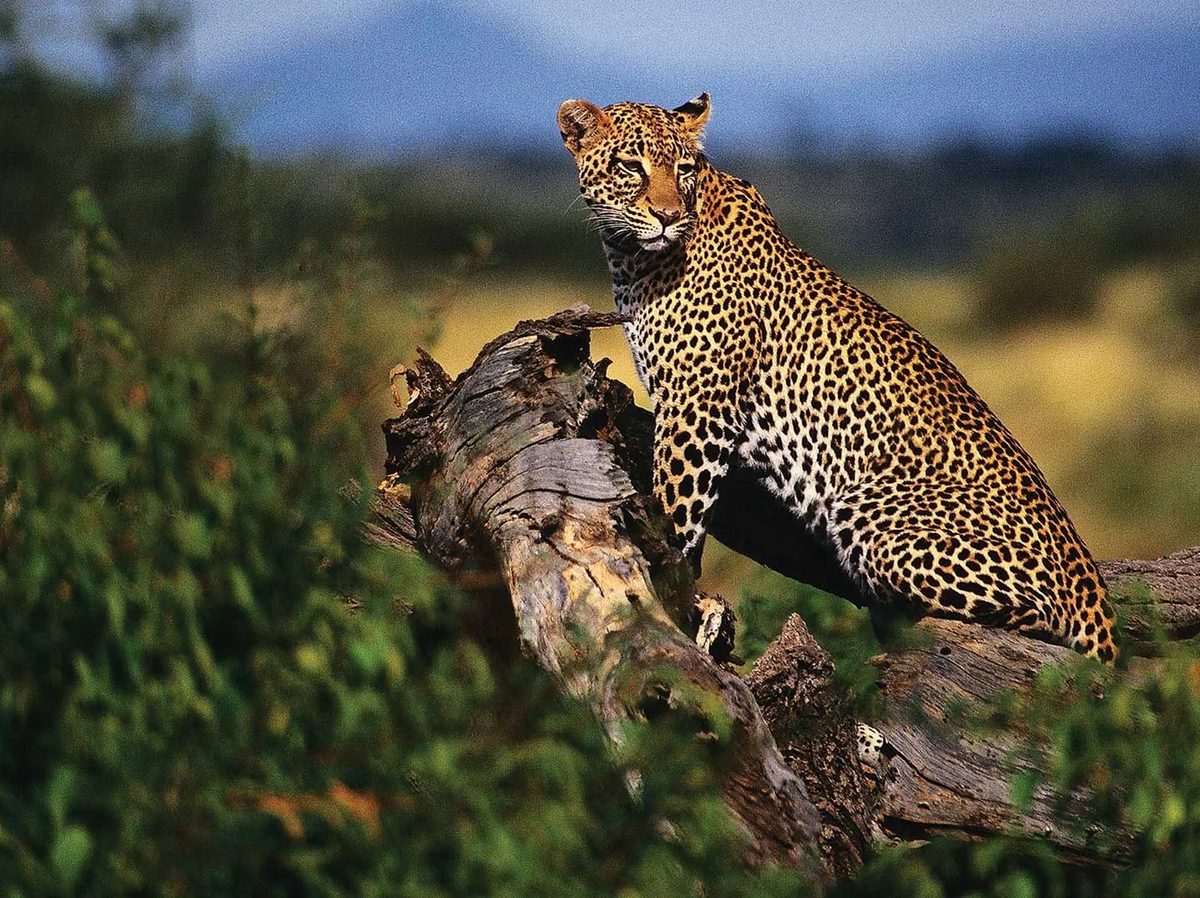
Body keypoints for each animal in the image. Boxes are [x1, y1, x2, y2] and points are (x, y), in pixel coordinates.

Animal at [557, 93, 1117, 662]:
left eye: (685, 169)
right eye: (631, 166)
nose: (669, 217)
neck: (630, 259)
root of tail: (1092, 587)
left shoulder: (698, 407)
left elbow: (678, 513)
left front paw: (676, 596)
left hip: (867, 509)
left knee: (1038, 617)